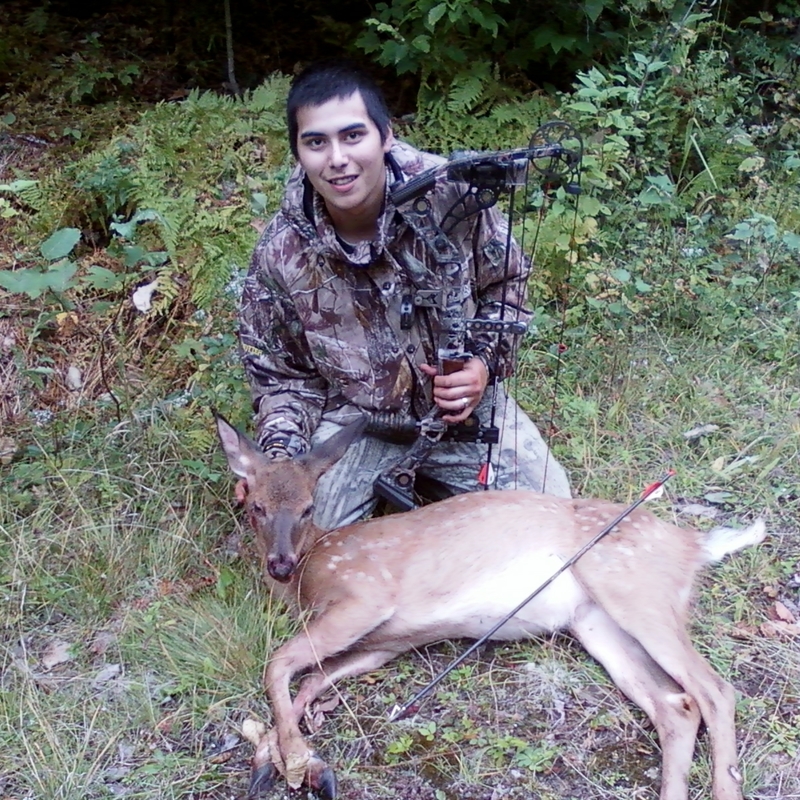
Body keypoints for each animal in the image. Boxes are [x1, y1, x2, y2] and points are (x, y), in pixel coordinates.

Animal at [214, 412, 766, 800]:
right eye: (256, 506)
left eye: (308, 507)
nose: (279, 565)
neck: (312, 570)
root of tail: (694, 544)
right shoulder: (384, 643)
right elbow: (310, 680)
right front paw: (282, 764)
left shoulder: (366, 597)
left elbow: (279, 664)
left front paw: (296, 762)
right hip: (597, 623)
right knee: (677, 704)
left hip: (635, 589)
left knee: (717, 690)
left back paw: (726, 788)